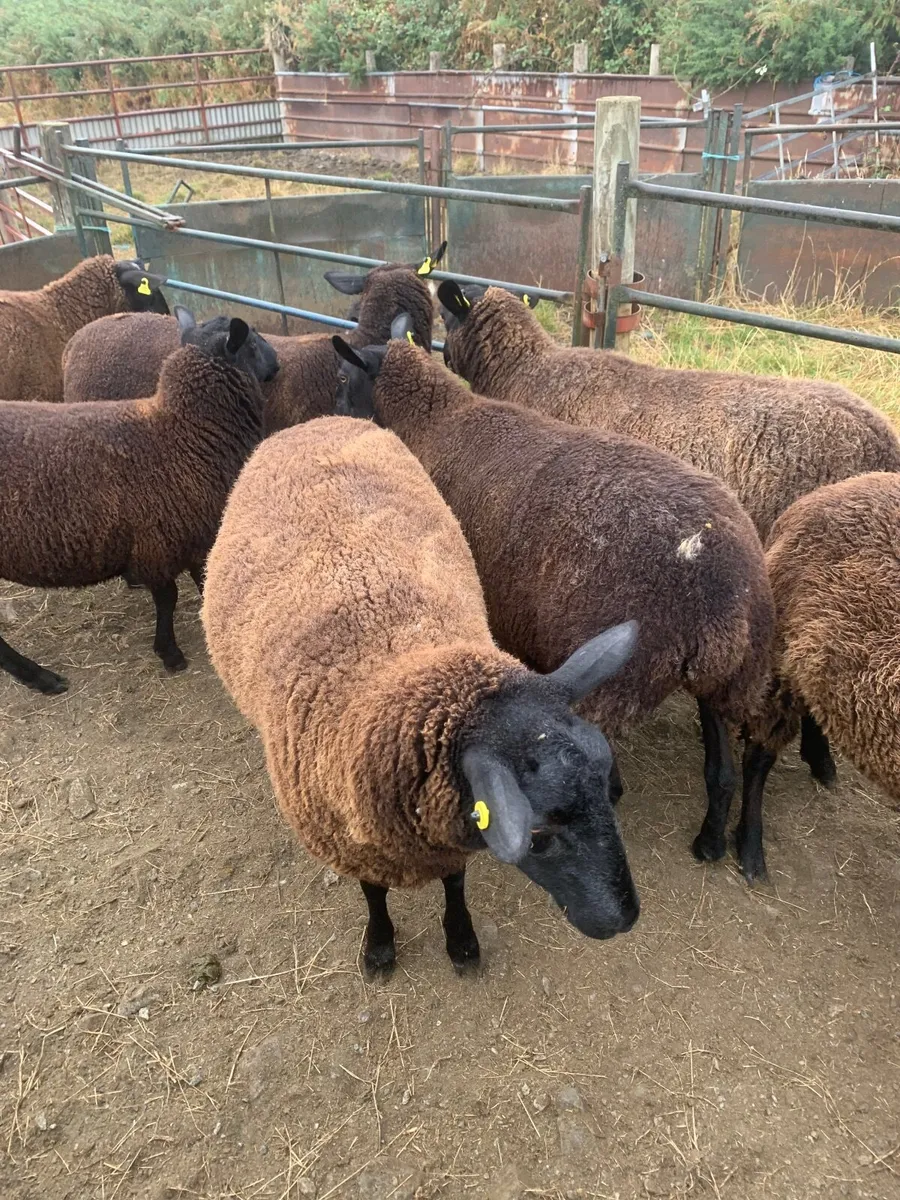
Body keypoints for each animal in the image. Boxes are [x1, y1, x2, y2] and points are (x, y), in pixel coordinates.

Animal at [0, 307, 277, 696]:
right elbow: (168, 597)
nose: (277, 363)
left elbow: (200, 580)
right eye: (251, 341)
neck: (184, 432)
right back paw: (41, 678)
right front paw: (170, 653)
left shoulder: (191, 533)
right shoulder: (158, 539)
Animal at [202, 415, 640, 975]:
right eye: (538, 836)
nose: (625, 919)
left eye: (608, 789)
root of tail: (318, 419)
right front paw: (380, 945)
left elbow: (454, 884)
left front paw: (461, 940)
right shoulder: (354, 842)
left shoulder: (444, 833)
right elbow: (373, 893)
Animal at [332, 324, 776, 881]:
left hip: (622, 673)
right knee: (727, 767)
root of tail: (721, 589)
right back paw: (723, 844)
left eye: (345, 381)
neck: (436, 422)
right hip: (736, 673)